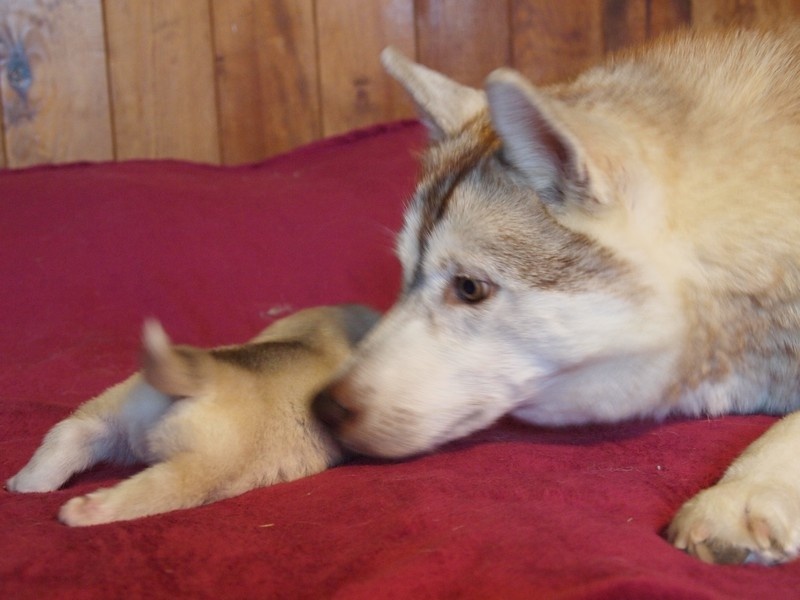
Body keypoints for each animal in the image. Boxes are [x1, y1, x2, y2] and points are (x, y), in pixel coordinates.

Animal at [6, 304, 380, 524]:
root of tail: (207, 375)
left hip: (110, 417)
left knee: (68, 436)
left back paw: (25, 484)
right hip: (200, 470)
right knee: (140, 496)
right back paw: (85, 511)